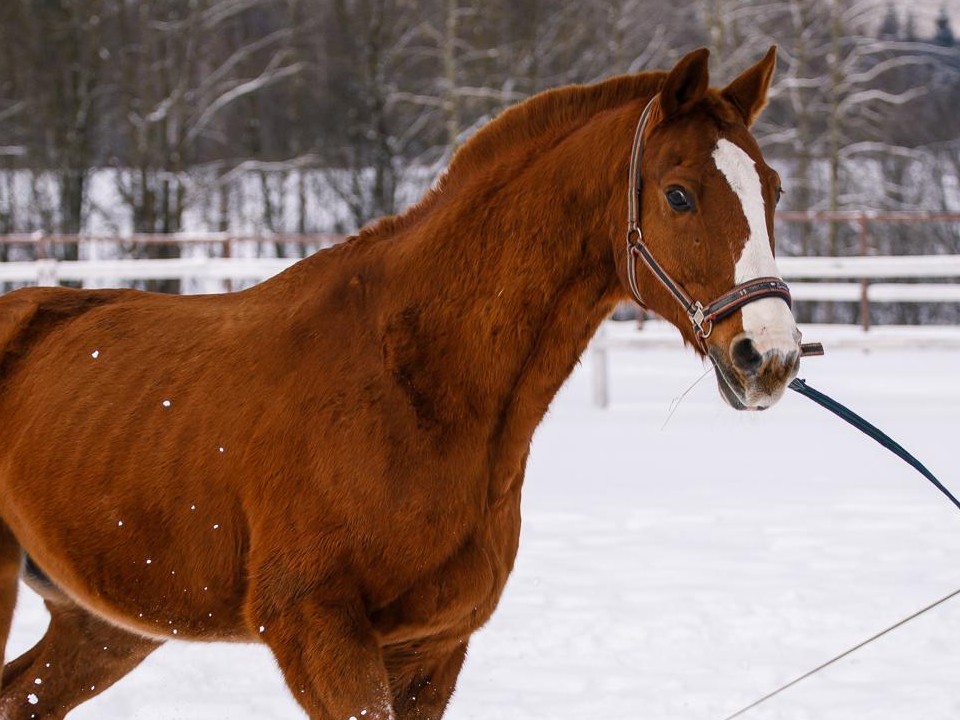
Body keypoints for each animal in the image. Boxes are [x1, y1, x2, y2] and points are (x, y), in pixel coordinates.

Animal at [0, 47, 800, 716]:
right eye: (679, 195)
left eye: (774, 189)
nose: (770, 355)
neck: (414, 388)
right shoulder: (317, 629)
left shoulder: (431, 647)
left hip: (107, 622)